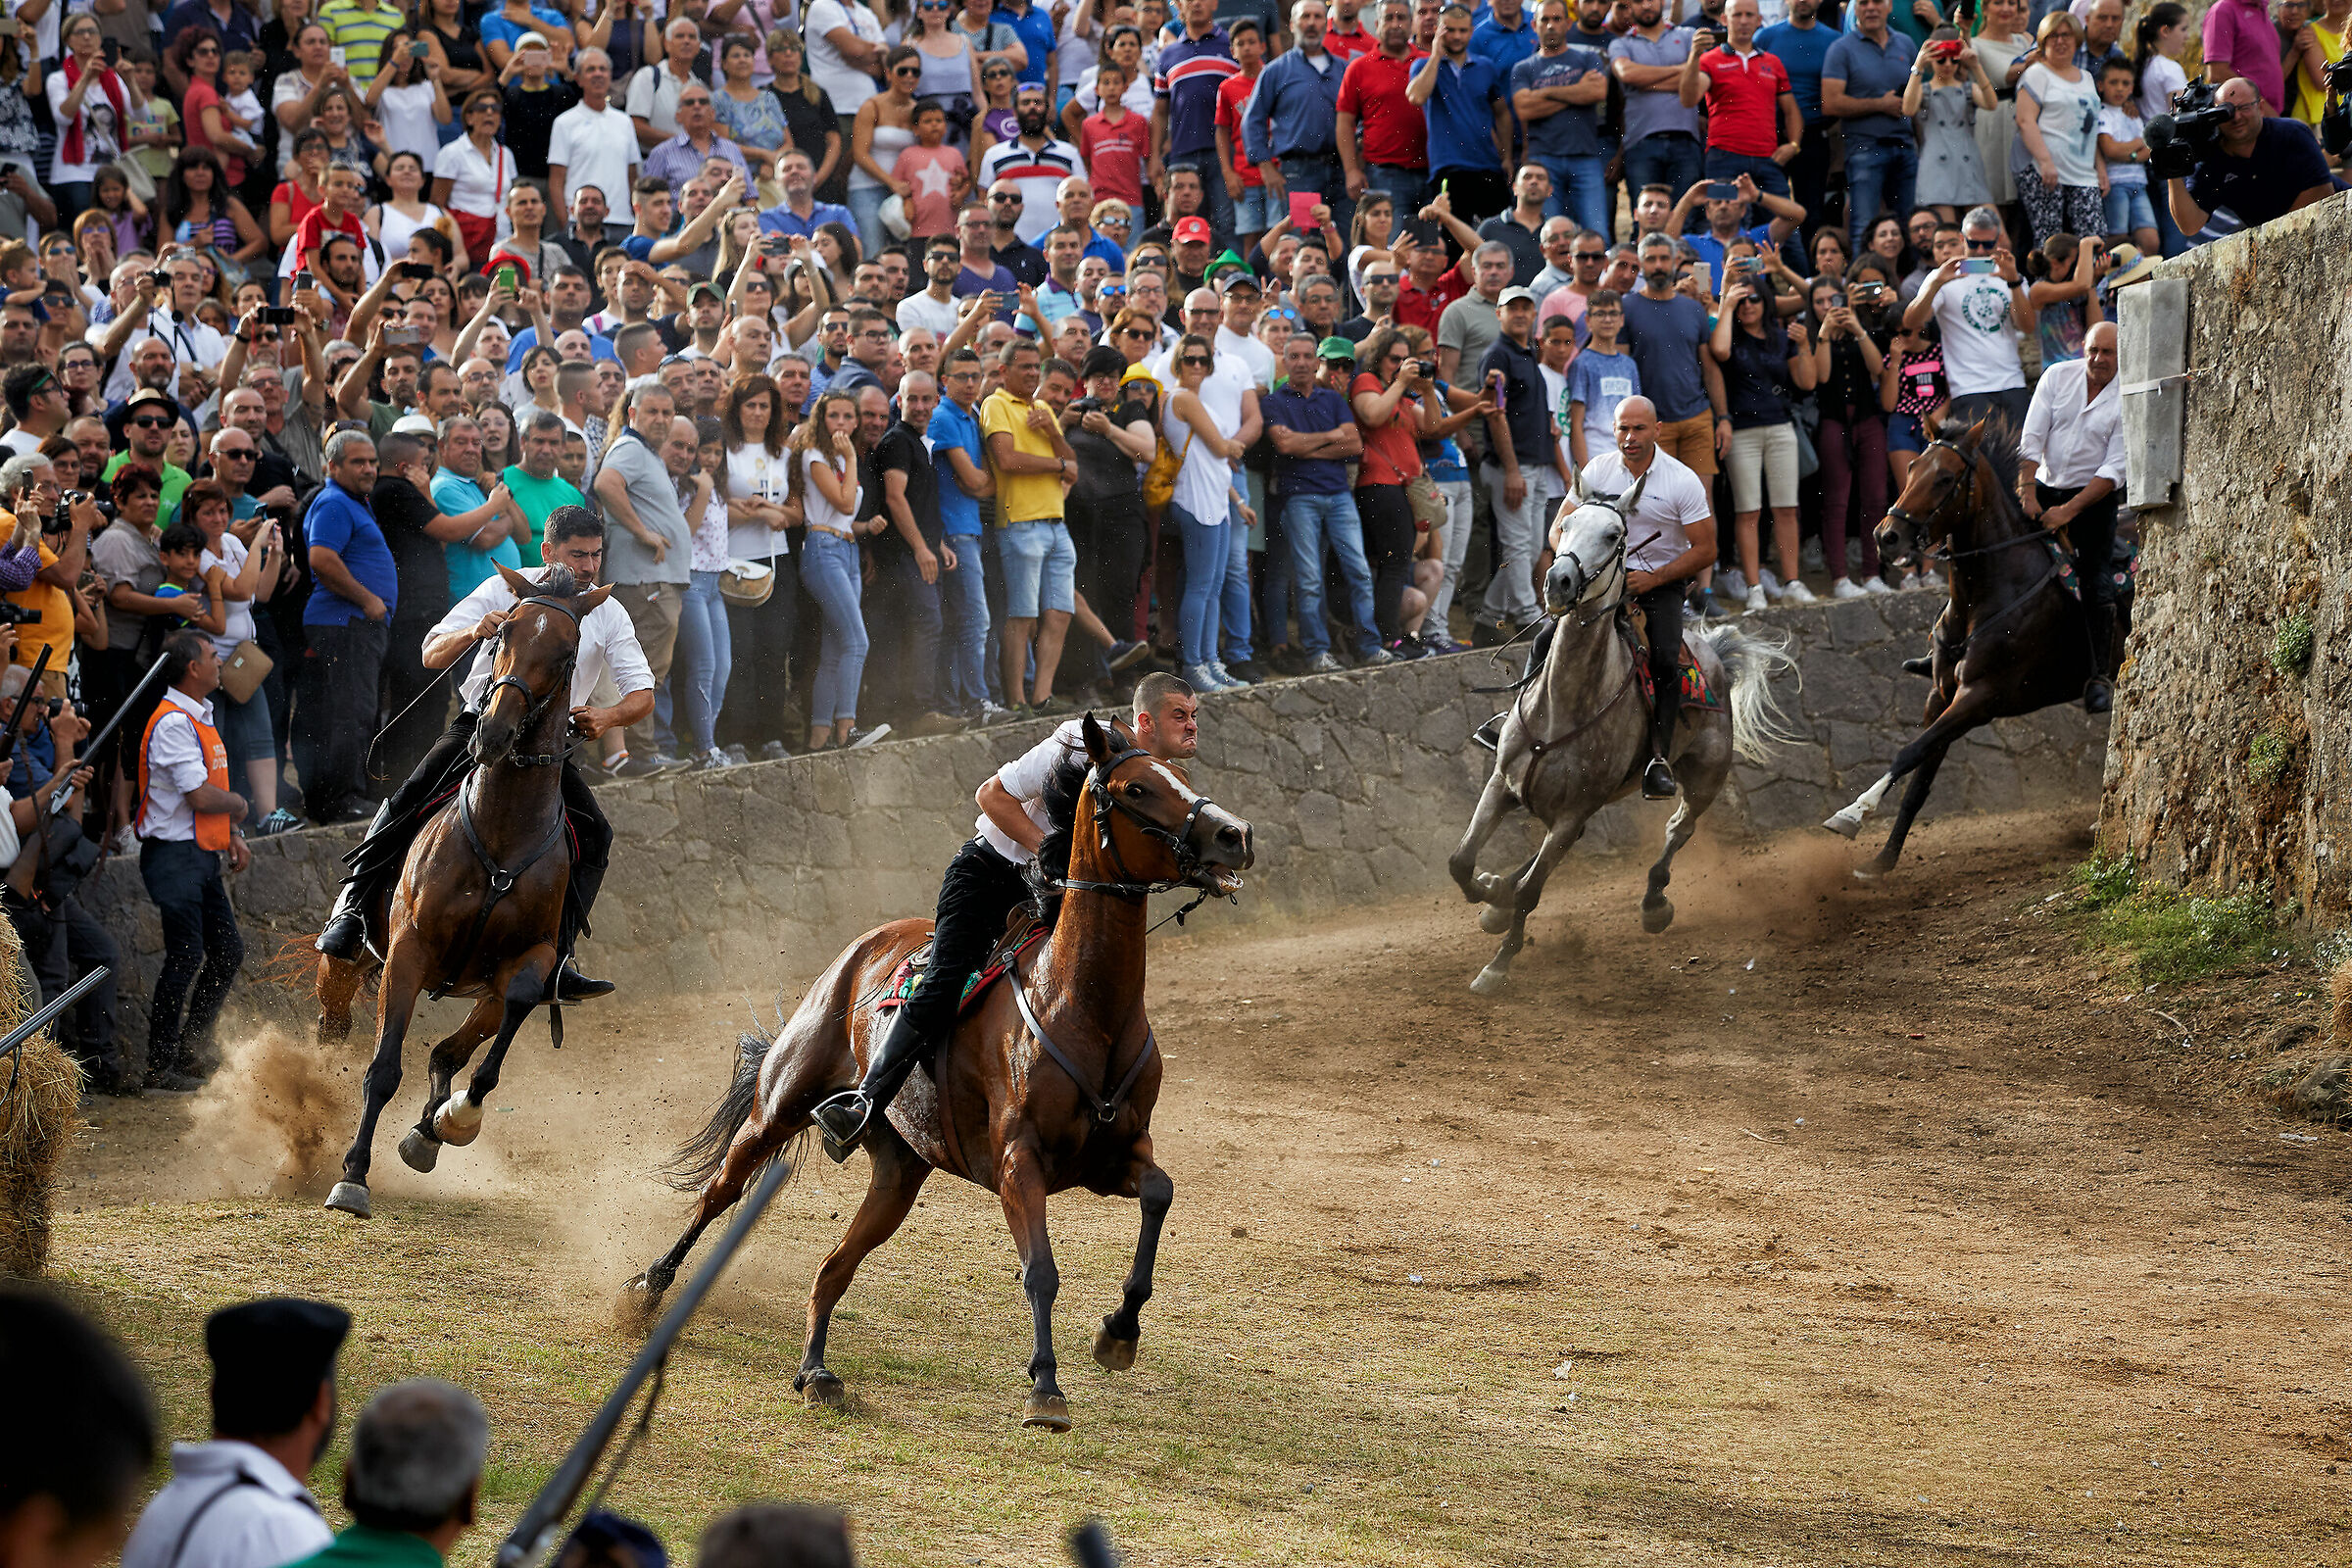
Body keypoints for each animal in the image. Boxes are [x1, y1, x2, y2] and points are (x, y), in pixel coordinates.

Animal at [316, 564, 604, 1219]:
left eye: (568, 653)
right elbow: (383, 1068)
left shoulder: (530, 958)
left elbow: (500, 1029)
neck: (502, 831)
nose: (493, 732)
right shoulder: (409, 950)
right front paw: (353, 1176)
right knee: (333, 1019)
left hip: (482, 989)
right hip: (348, 963)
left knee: (450, 1051)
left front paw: (455, 1119)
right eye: (501, 635)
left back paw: (431, 1128)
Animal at [620, 714, 1253, 1432]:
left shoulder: (1114, 1156)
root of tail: (859, 948)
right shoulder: (1019, 1164)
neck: (1083, 1009)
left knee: (832, 1268)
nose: (1235, 835)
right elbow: (1041, 1271)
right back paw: (648, 1287)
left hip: (898, 1174)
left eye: (1182, 773)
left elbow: (1158, 1195)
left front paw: (1118, 1333)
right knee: (718, 1193)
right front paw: (1045, 1388)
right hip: (778, 1107)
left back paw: (815, 1371)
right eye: (1138, 789)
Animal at [1448, 480, 1802, 996]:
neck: (1564, 705)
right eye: (1566, 524)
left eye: (1614, 535)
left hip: (1704, 778)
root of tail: (1715, 654)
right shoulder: (1502, 785)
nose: (1558, 581)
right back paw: (1499, 897)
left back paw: (1654, 903)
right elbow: (1461, 862)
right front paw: (1491, 895)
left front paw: (1497, 967)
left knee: (1678, 829)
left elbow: (1532, 892)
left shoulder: (1573, 810)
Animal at [1822, 415, 2111, 878]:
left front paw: (1851, 814)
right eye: (1910, 468)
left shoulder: (1979, 697)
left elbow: (1908, 753)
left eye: (1945, 478)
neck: (1990, 591)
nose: (1887, 536)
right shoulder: (1941, 696)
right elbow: (1919, 780)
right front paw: (1883, 860)